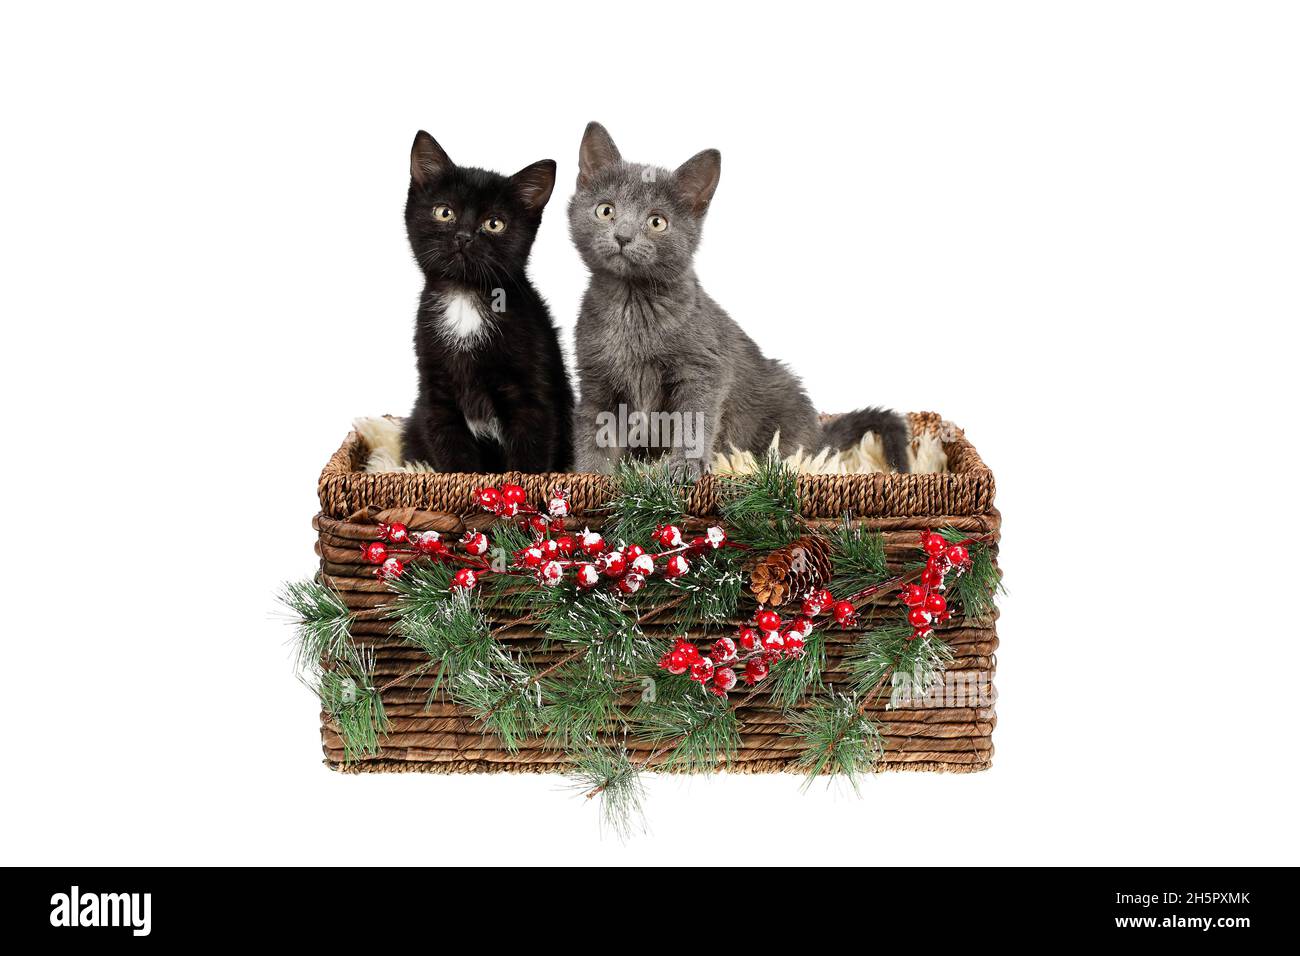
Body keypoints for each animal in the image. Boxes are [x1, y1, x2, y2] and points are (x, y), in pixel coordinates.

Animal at [400, 130, 574, 476]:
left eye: (494, 223)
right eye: (444, 212)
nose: (464, 236)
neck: (465, 298)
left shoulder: (533, 398)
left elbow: (529, 460)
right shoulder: (436, 396)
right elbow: (455, 460)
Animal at [564, 121, 909, 476]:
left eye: (657, 221)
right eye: (606, 210)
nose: (623, 236)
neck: (632, 308)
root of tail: (818, 435)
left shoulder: (702, 369)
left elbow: (693, 422)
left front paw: (684, 467)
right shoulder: (596, 382)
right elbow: (593, 434)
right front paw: (590, 476)